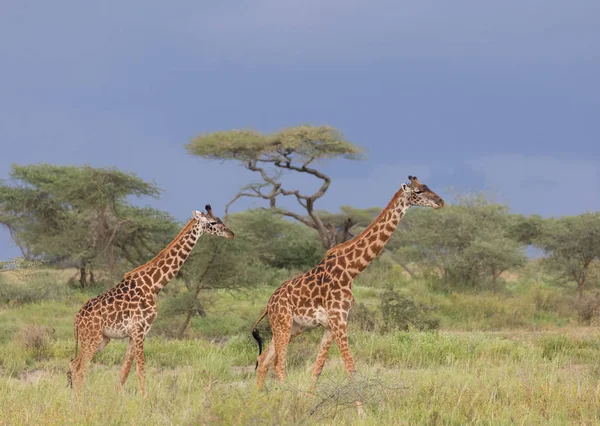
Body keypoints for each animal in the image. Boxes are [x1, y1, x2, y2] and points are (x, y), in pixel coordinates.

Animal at [67, 205, 233, 398]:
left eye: (220, 219)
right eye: (212, 223)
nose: (231, 233)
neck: (153, 285)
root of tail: (77, 318)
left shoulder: (133, 334)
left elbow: (124, 372)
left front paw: (118, 399)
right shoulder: (140, 331)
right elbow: (141, 370)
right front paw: (145, 400)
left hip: (102, 339)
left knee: (74, 364)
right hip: (92, 338)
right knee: (80, 368)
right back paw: (79, 402)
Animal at [251, 176, 442, 390]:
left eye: (426, 187)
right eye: (418, 191)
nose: (440, 202)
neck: (350, 271)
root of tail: (268, 305)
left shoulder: (331, 324)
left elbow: (318, 369)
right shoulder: (338, 319)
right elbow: (350, 368)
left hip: (294, 326)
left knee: (264, 358)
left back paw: (258, 398)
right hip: (283, 323)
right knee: (279, 364)